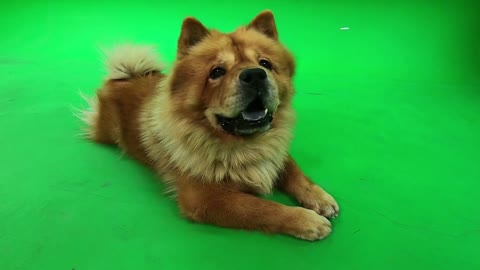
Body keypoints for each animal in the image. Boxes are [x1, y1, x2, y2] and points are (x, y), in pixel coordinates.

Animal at [81, 10, 338, 240]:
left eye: (265, 63)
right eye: (217, 72)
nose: (255, 74)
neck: (247, 145)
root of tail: (129, 76)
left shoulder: (275, 151)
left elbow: (295, 173)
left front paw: (320, 199)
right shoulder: (206, 198)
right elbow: (262, 208)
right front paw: (307, 221)